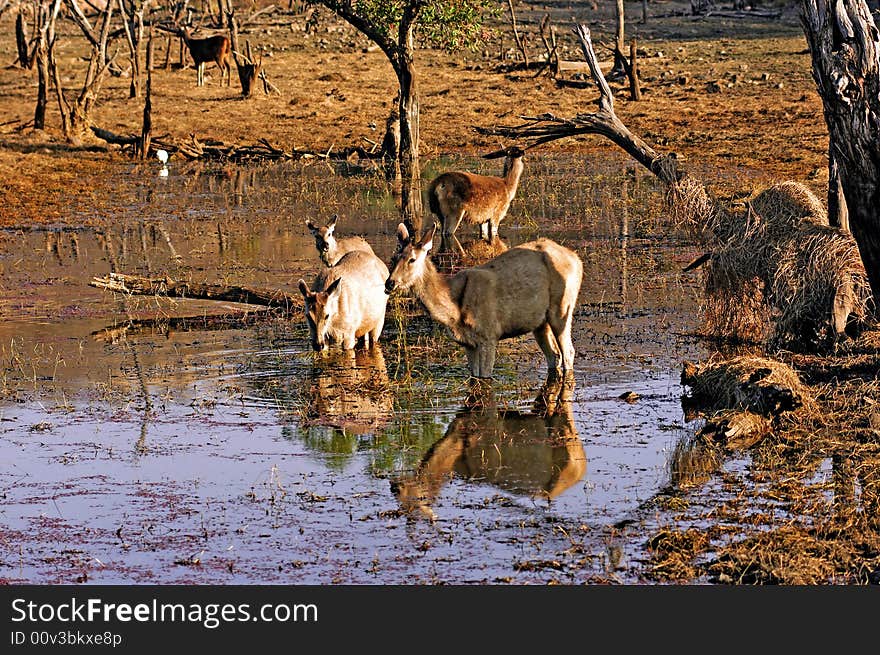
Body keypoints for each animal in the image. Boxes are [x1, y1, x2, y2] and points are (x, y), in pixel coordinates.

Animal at [384, 224, 584, 380]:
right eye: (394, 257)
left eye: (412, 259)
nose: (389, 283)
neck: (454, 311)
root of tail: (577, 259)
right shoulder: (468, 343)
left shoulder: (489, 334)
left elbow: (485, 378)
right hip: (540, 322)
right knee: (553, 355)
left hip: (563, 306)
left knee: (568, 352)